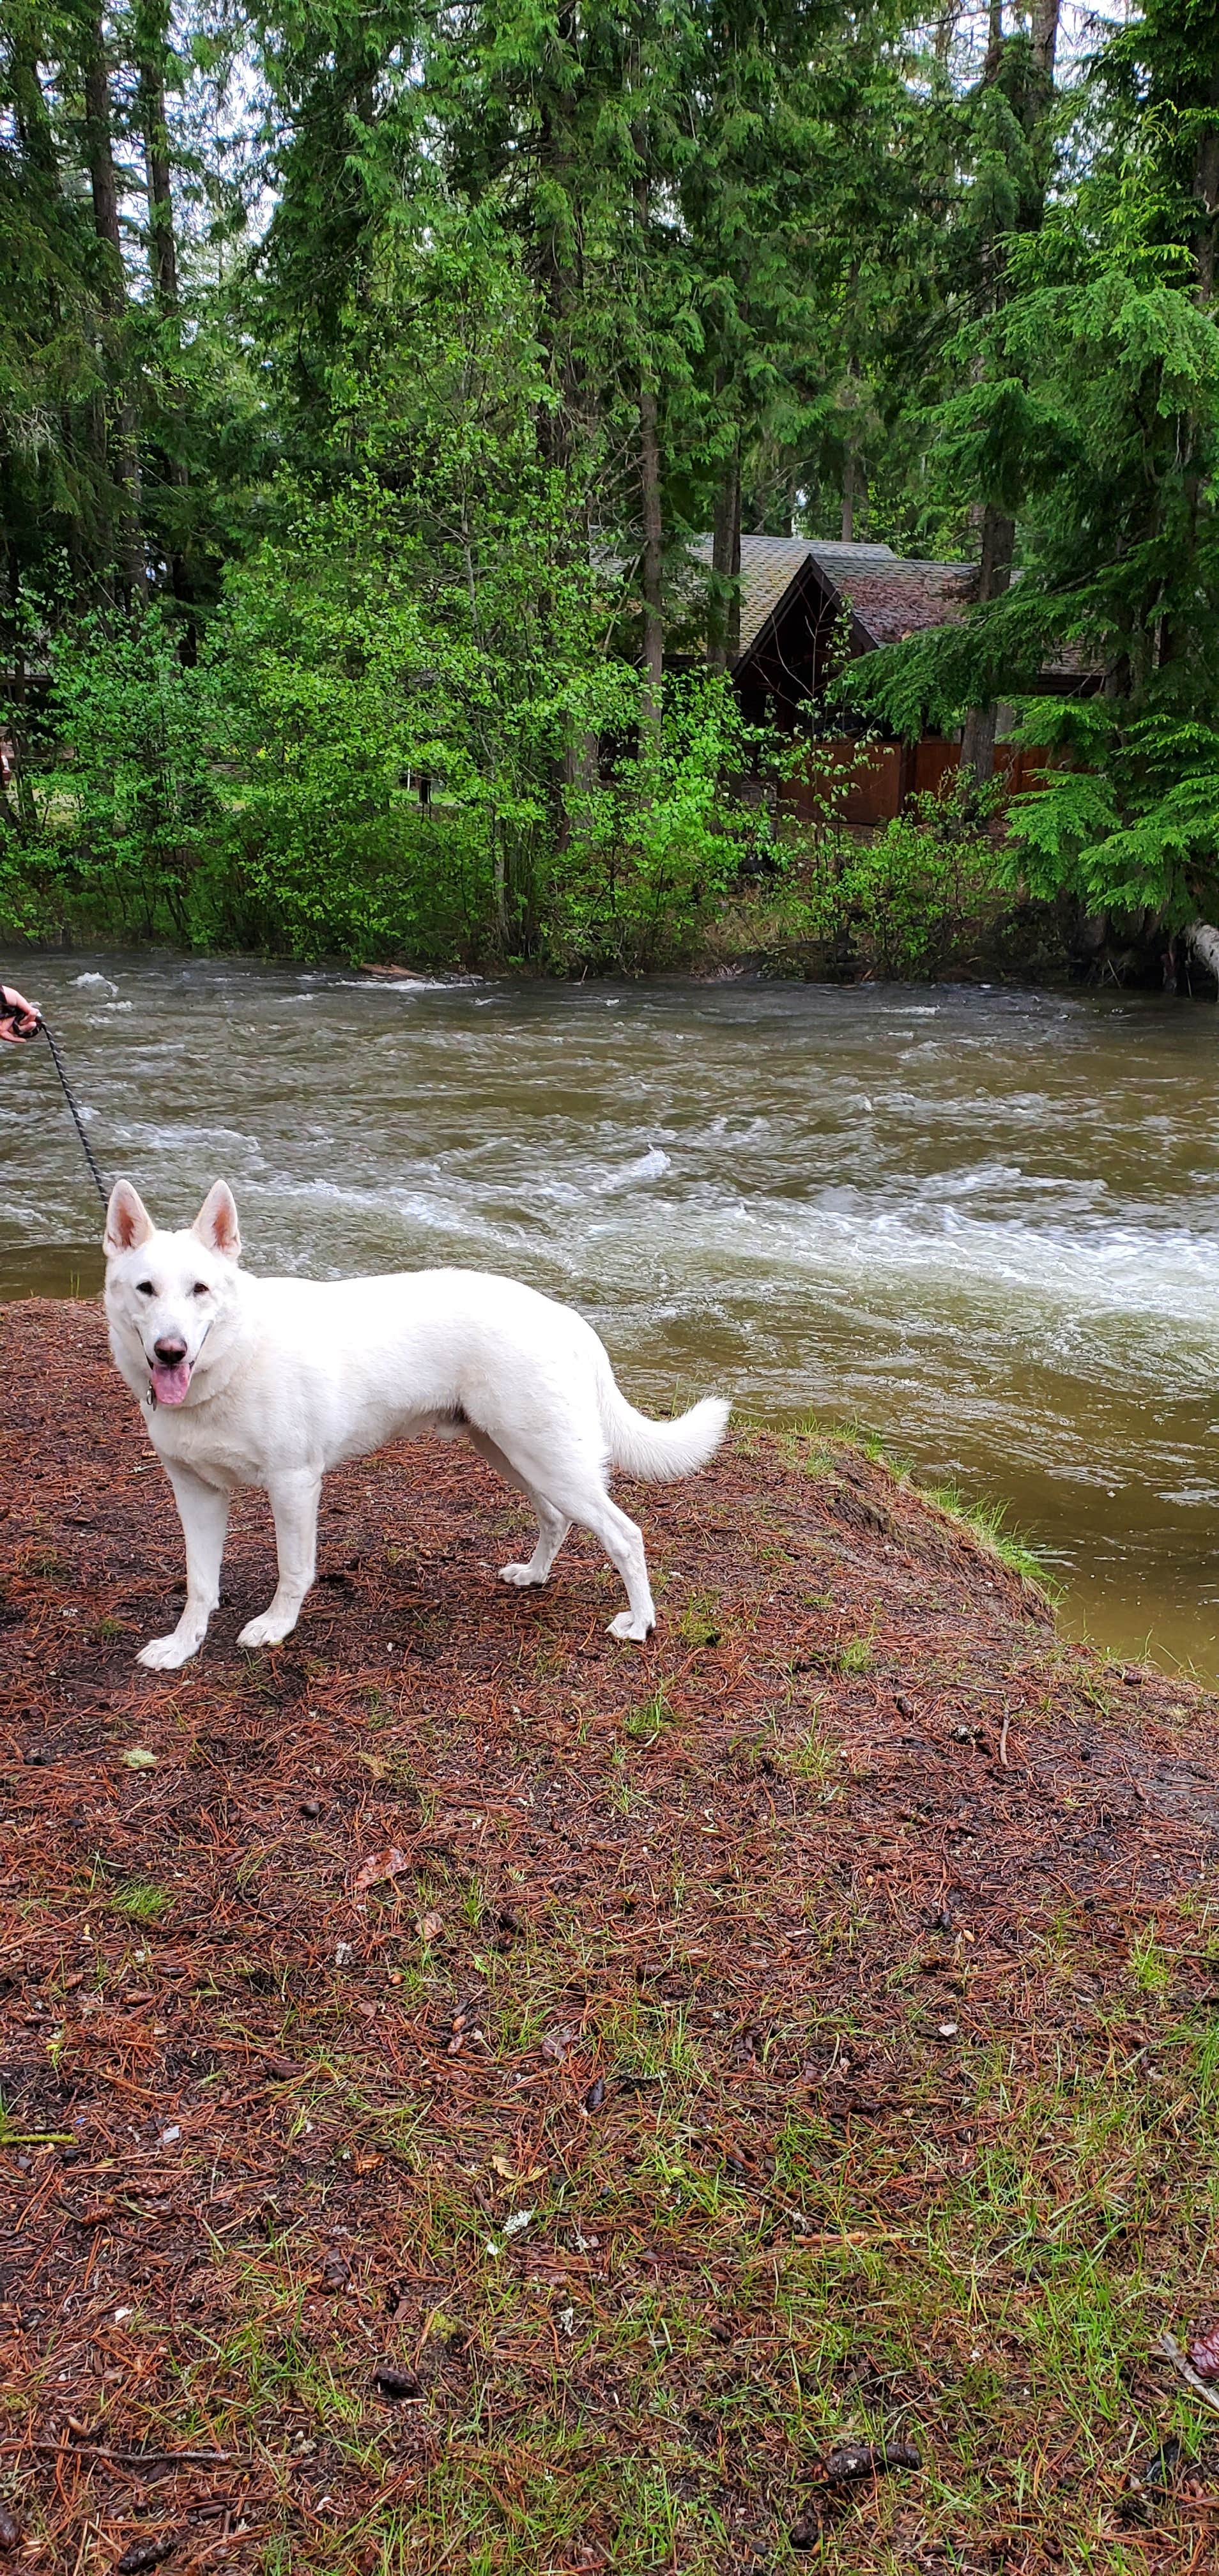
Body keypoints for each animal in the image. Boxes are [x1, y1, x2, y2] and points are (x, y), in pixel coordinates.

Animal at [102, 1179, 721, 1679]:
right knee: (556, 1518)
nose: (170, 1351)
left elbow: (293, 1569)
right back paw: (534, 1575)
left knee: (624, 1535)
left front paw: (277, 1627)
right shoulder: (196, 1492)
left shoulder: (294, 1484)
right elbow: (200, 1582)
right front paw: (183, 1646)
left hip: (548, 1459)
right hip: (511, 1452)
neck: (233, 1355)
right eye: (146, 1289)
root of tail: (567, 1317)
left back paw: (640, 1623)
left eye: (201, 1290)